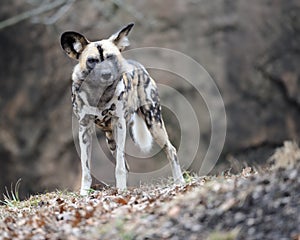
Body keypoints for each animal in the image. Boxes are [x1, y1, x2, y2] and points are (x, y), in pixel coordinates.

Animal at [60, 23, 184, 195]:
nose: (106, 74)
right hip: (110, 139)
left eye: (111, 57)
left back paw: (180, 182)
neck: (100, 94)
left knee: (171, 151)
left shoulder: (119, 124)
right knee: (126, 165)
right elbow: (86, 169)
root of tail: (138, 65)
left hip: (153, 123)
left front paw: (122, 191)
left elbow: (119, 167)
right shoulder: (84, 128)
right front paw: (84, 193)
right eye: (92, 61)